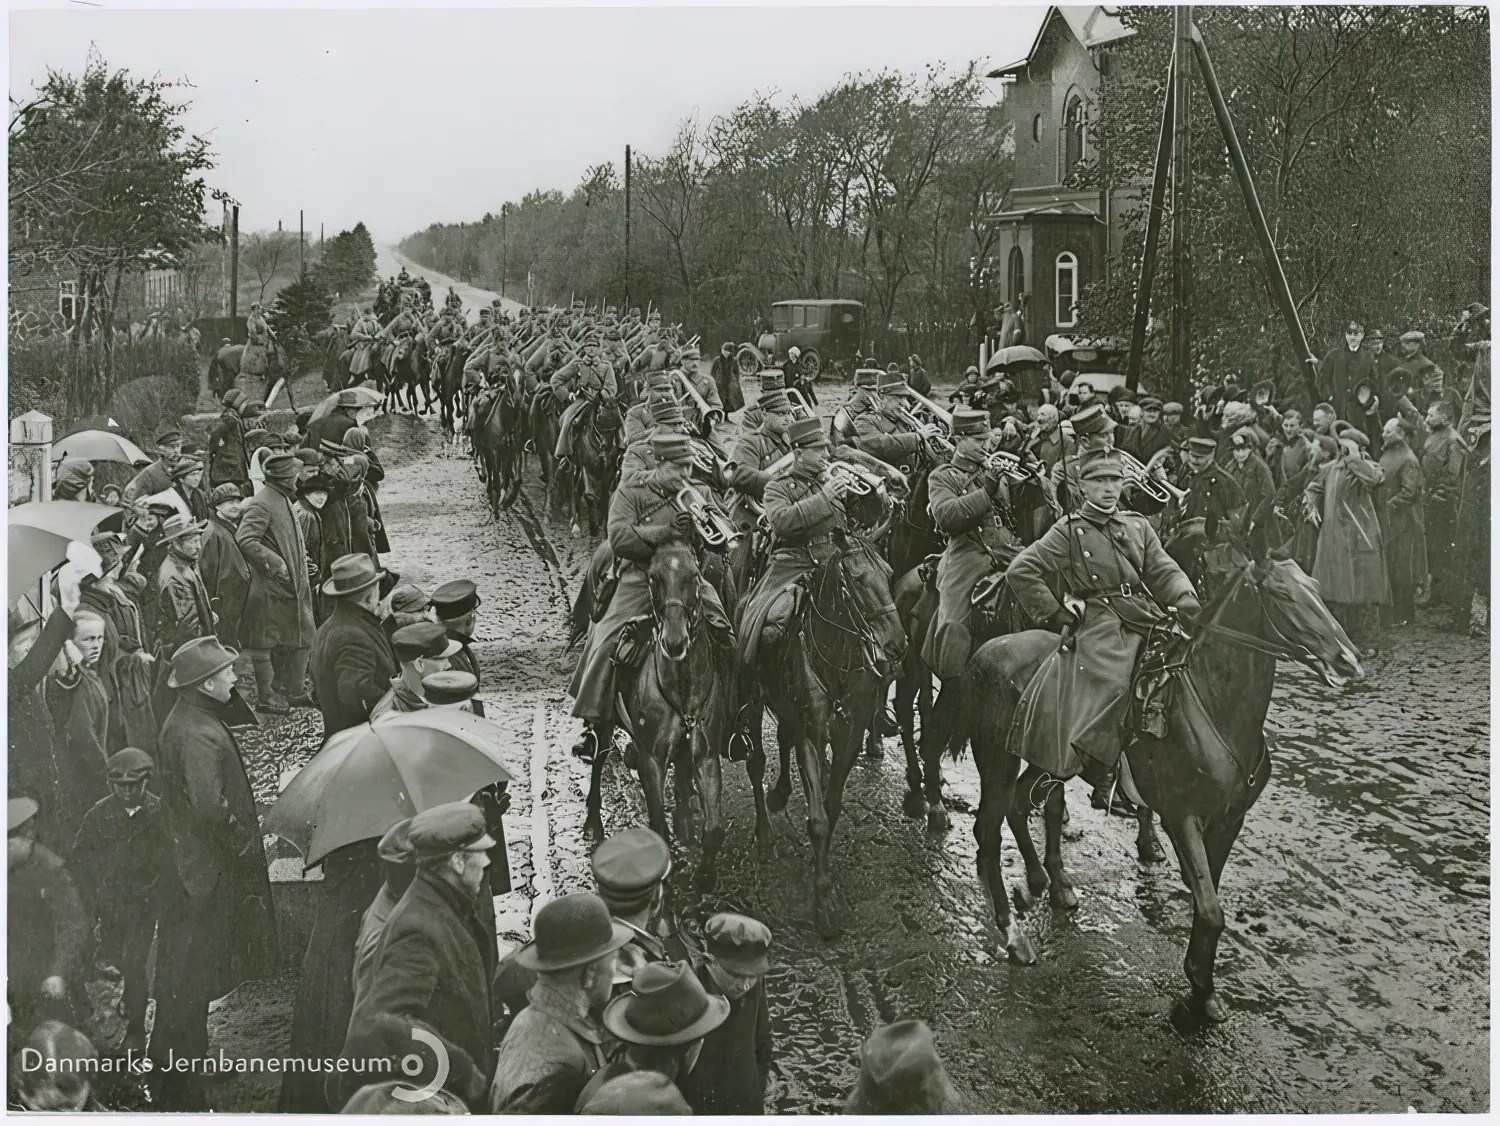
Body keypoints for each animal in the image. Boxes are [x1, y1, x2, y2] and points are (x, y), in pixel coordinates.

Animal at [591, 542, 738, 893]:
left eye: (695, 577)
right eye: (653, 579)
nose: (674, 641)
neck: (680, 688)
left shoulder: (706, 755)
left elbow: (714, 828)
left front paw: (705, 876)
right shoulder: (652, 759)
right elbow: (658, 825)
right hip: (604, 721)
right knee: (598, 758)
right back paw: (592, 818)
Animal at [744, 533, 906, 935]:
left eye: (889, 573)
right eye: (859, 580)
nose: (897, 645)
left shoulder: (849, 735)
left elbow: (830, 809)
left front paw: (824, 869)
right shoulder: (811, 734)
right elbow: (816, 819)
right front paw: (825, 901)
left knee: (782, 737)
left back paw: (780, 793)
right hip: (754, 702)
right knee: (756, 764)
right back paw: (765, 833)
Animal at [960, 542, 1362, 1025]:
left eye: (1316, 588)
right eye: (1282, 594)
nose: (1348, 660)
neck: (1213, 703)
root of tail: (986, 651)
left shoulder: (1229, 818)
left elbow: (1208, 899)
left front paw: (1203, 987)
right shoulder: (1179, 814)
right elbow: (1211, 908)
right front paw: (1198, 987)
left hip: (1047, 762)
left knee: (1023, 805)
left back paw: (1048, 882)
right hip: (996, 762)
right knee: (987, 833)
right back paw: (1014, 936)